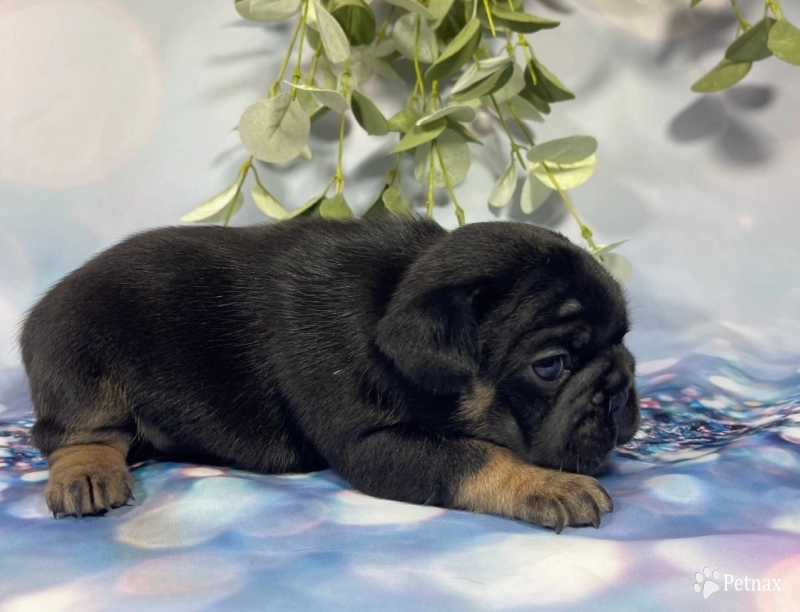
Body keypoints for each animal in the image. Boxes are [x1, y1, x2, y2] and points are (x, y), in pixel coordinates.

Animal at [21, 216, 640, 532]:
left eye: (625, 340)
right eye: (550, 366)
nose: (620, 387)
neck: (395, 291)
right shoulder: (374, 444)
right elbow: (478, 455)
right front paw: (547, 484)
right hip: (79, 358)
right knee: (78, 435)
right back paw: (87, 475)